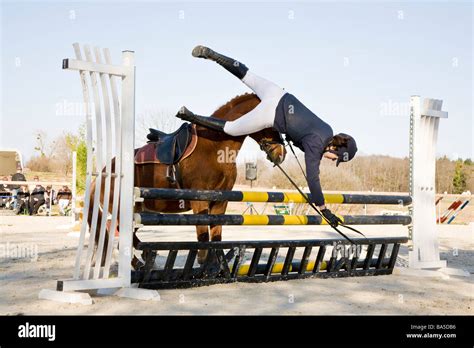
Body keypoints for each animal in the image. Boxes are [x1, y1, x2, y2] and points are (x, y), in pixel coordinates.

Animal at [90, 92, 286, 264]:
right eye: (272, 121)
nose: (281, 153)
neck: (214, 146)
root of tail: (104, 172)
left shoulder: (220, 202)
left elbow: (216, 236)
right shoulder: (200, 201)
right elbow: (204, 238)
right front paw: (203, 264)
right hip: (123, 210)